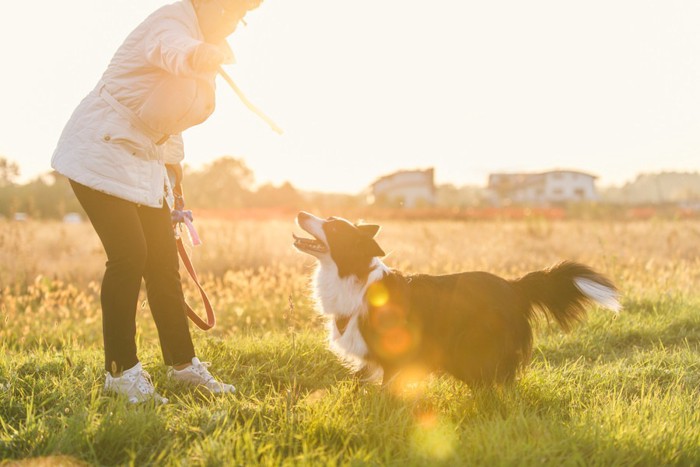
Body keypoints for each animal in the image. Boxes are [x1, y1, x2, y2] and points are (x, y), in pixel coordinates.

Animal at [292, 212, 620, 388]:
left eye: (333, 227)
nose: (301, 214)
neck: (353, 276)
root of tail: (513, 286)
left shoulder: (394, 351)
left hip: (473, 346)